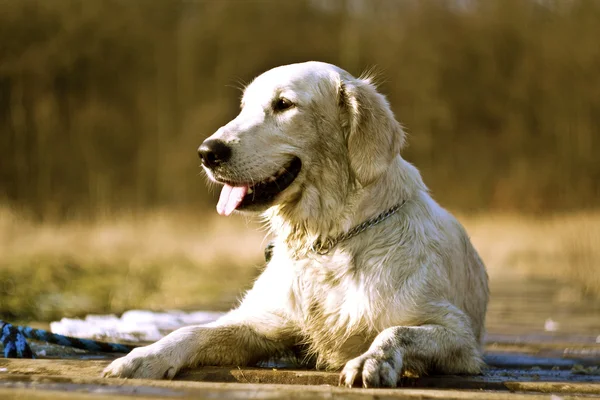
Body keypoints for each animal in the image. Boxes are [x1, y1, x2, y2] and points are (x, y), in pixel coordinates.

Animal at [103, 61, 488, 388]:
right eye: (244, 107)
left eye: (284, 104)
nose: (207, 152)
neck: (328, 238)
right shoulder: (263, 322)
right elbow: (193, 331)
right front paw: (144, 356)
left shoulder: (458, 337)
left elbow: (395, 333)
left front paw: (371, 361)